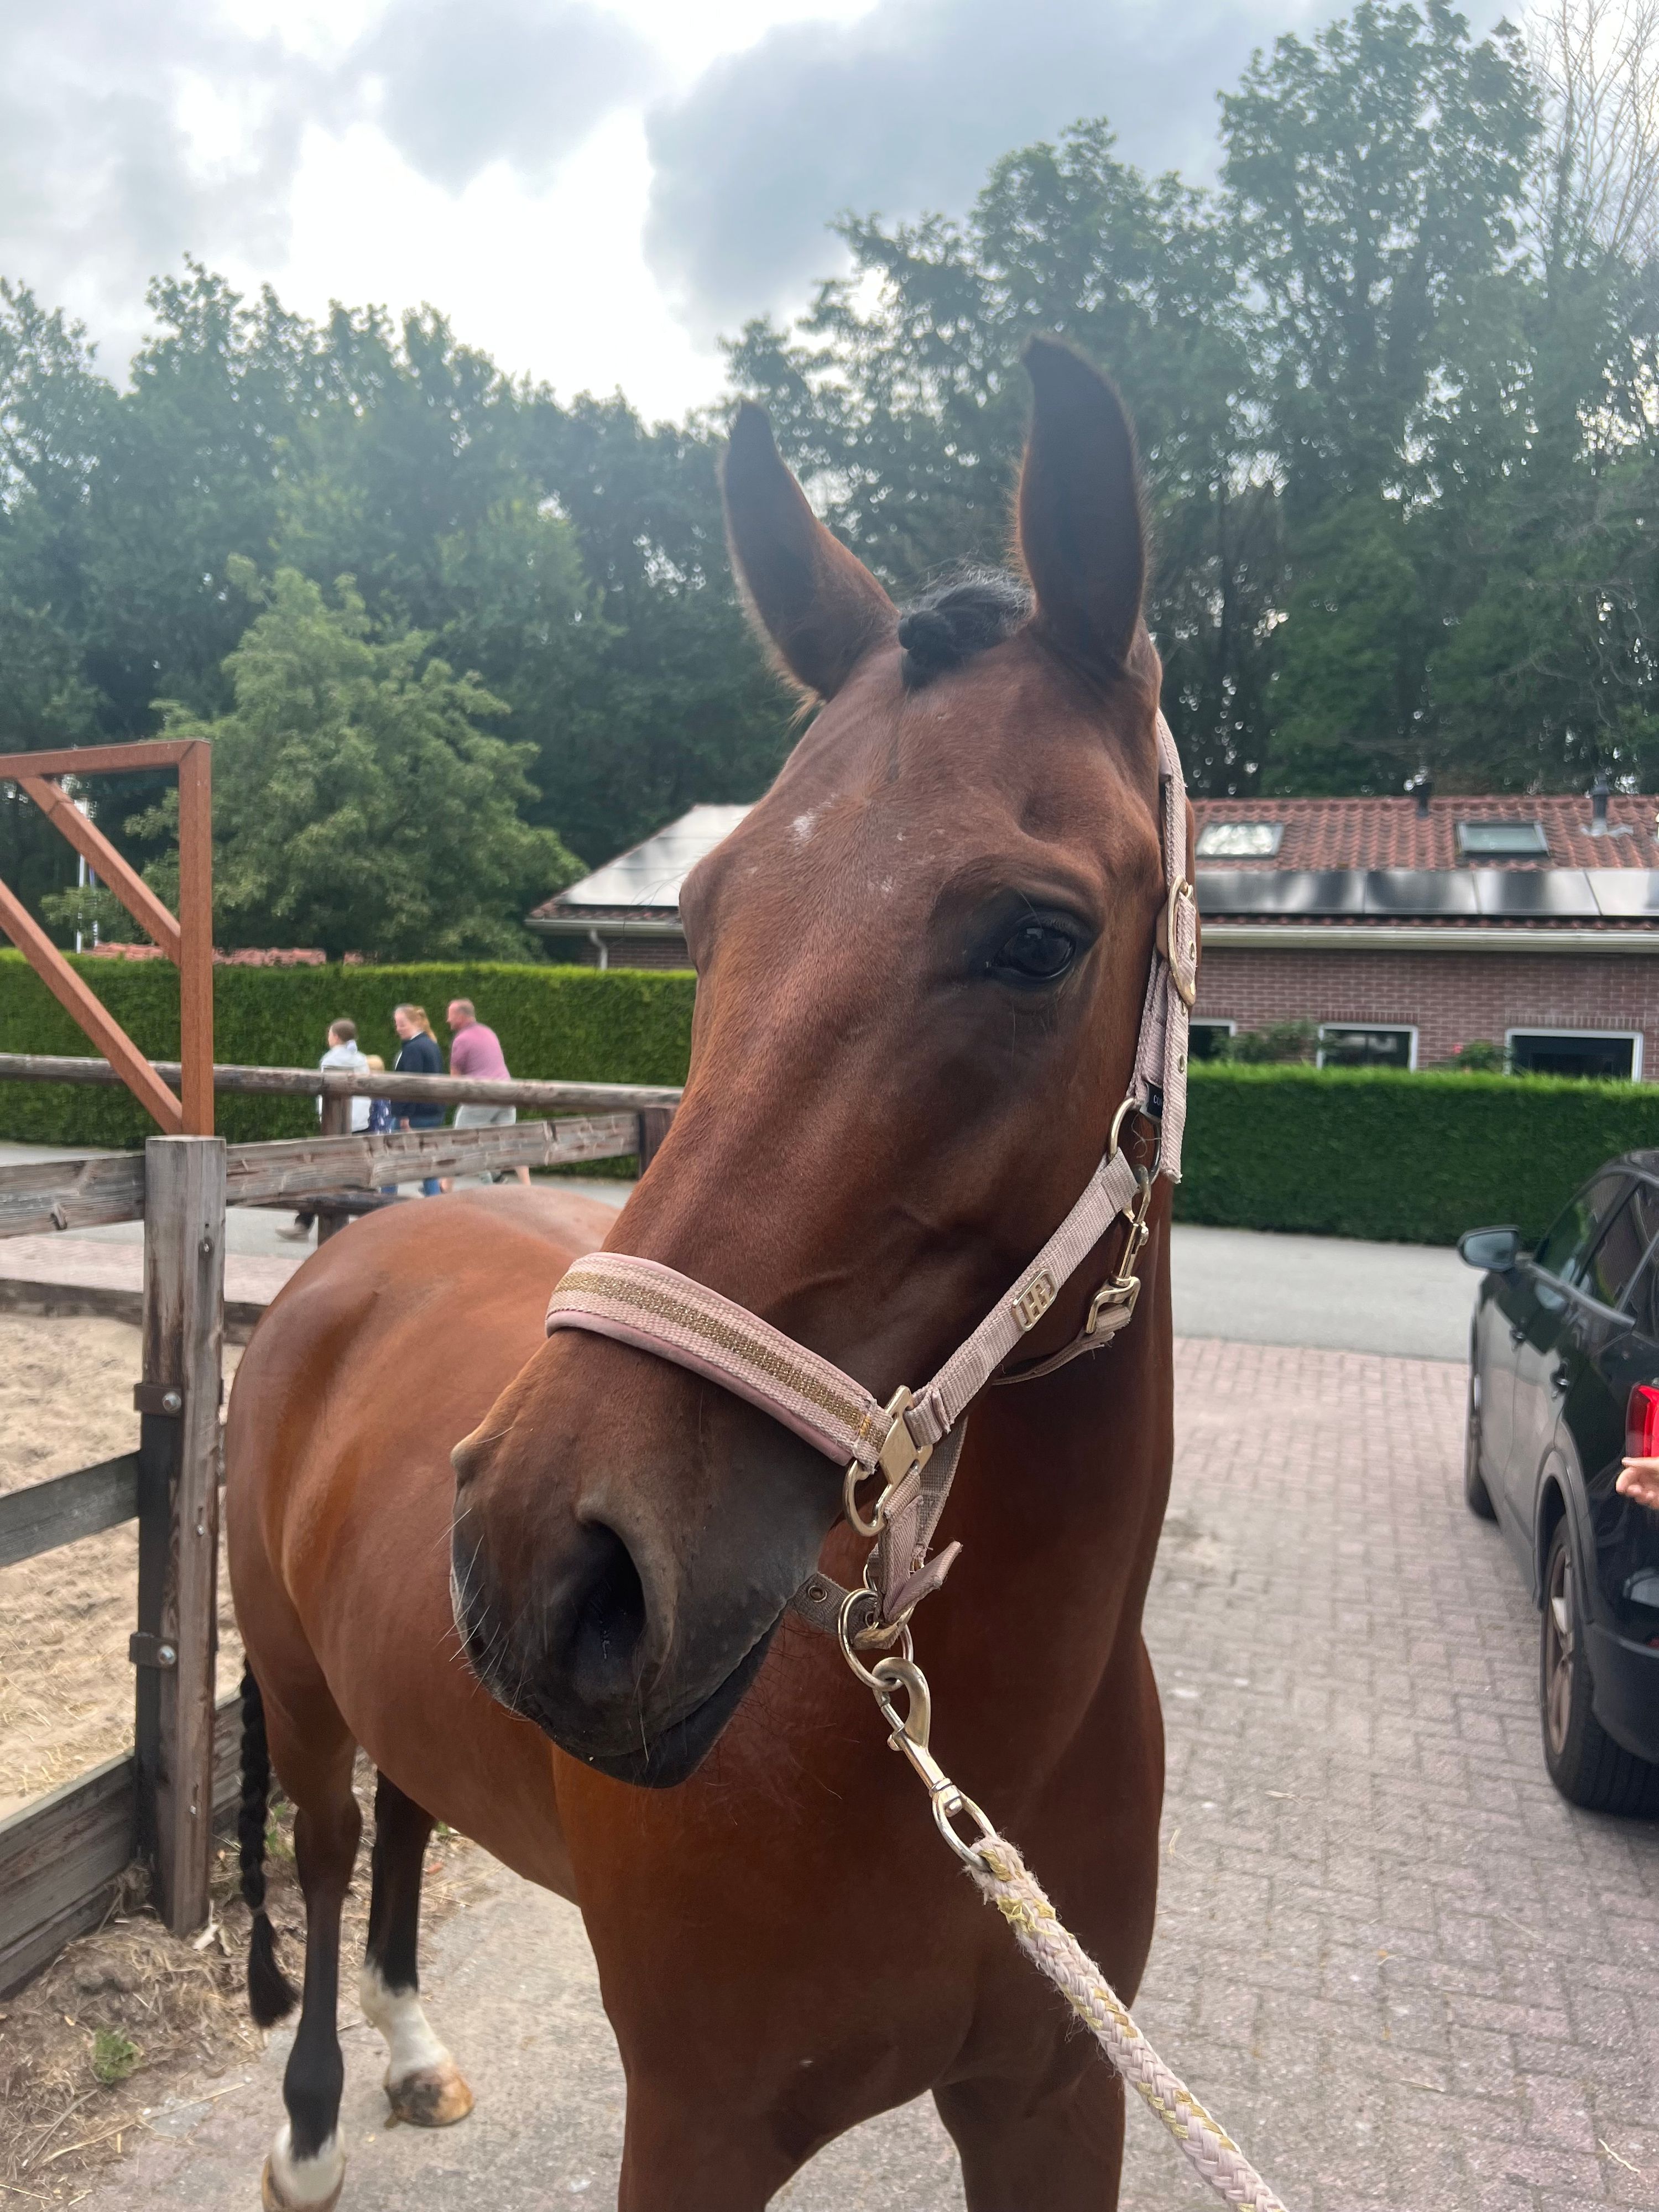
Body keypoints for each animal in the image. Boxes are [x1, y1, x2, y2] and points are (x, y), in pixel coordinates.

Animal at [229, 333, 1191, 2212]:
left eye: (1038, 937)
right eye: (705, 918)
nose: (553, 1565)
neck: (967, 1754)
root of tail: (356, 1246)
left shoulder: (1059, 2101)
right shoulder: (694, 2119)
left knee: (404, 1824)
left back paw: (412, 2044)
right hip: (298, 1689)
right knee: (326, 1839)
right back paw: (308, 2123)